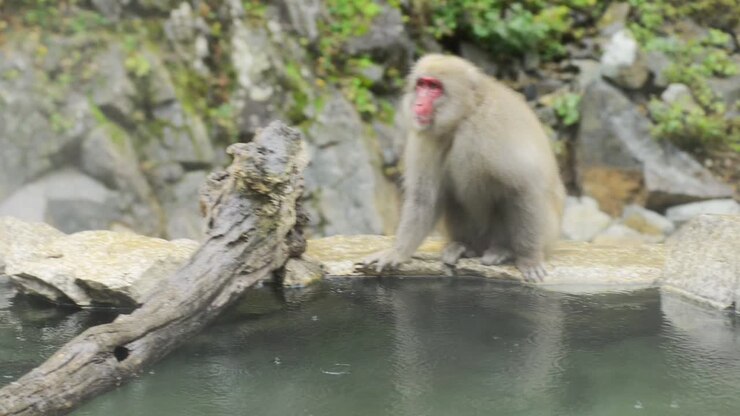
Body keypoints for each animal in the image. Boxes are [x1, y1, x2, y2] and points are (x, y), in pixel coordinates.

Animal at [364, 54, 565, 282]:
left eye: (434, 87)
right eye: (422, 84)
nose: (418, 103)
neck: (464, 116)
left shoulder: (491, 129)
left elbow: (524, 188)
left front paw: (529, 259)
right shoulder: (427, 138)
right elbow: (423, 197)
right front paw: (397, 252)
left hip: (548, 231)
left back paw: (504, 250)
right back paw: (464, 247)